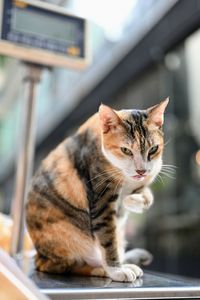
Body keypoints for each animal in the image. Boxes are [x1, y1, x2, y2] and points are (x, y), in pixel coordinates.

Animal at [25, 98, 169, 282]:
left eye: (153, 149)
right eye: (126, 150)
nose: (141, 171)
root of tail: (38, 255)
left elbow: (146, 195)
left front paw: (131, 200)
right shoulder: (102, 201)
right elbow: (108, 239)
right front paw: (116, 271)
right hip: (66, 240)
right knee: (61, 266)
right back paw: (102, 269)